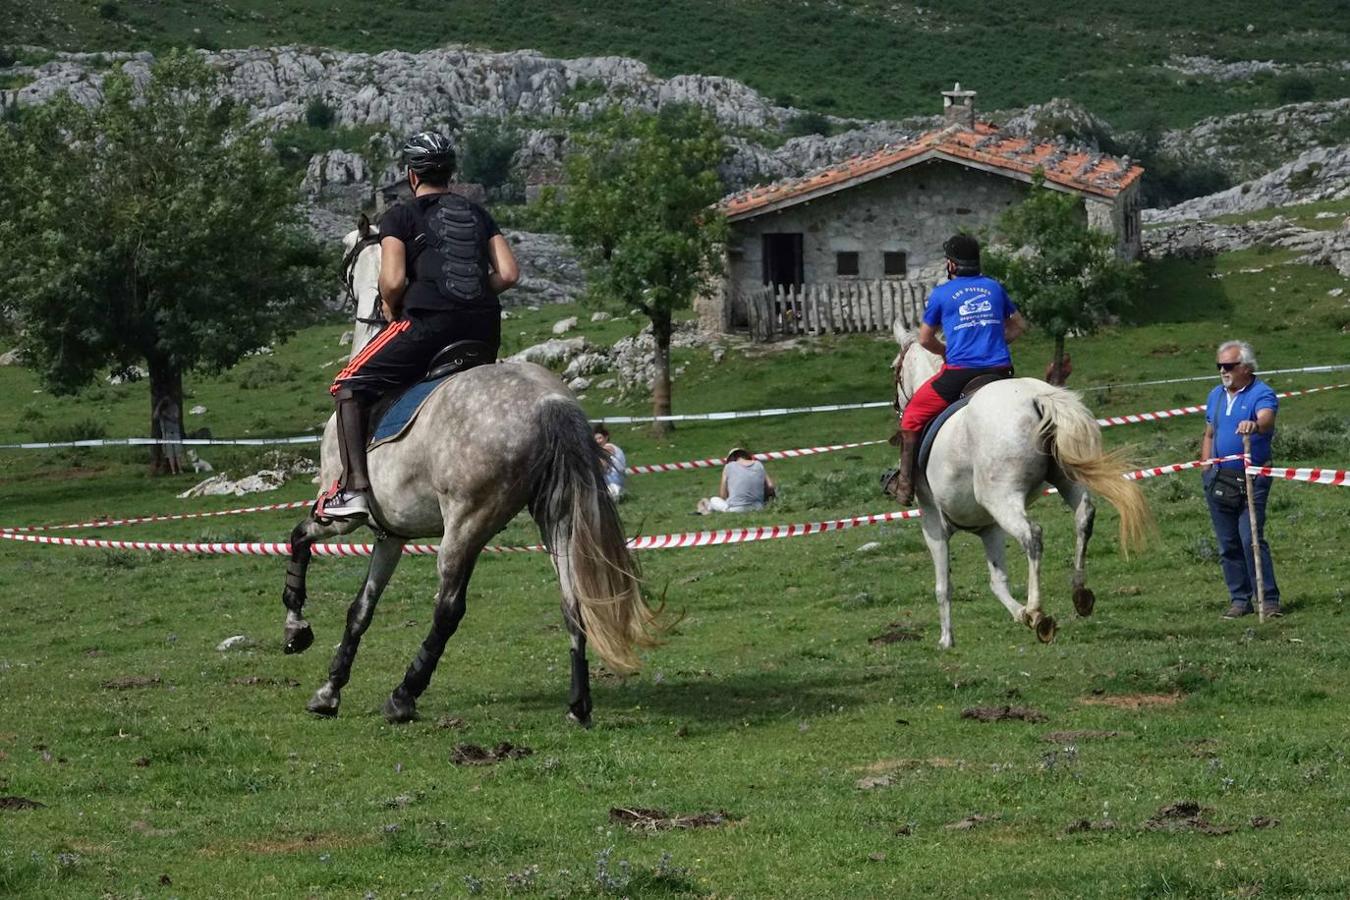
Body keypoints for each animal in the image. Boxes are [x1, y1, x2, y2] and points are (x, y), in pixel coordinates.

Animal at [885, 323, 1150, 647]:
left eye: (894, 367)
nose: (897, 407)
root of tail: (1037, 398)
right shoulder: (989, 527)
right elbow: (997, 581)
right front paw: (1020, 614)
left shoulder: (933, 523)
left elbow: (943, 587)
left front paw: (947, 640)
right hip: (1062, 480)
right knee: (1084, 517)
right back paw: (1078, 593)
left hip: (1002, 499)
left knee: (1032, 535)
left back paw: (1039, 612)